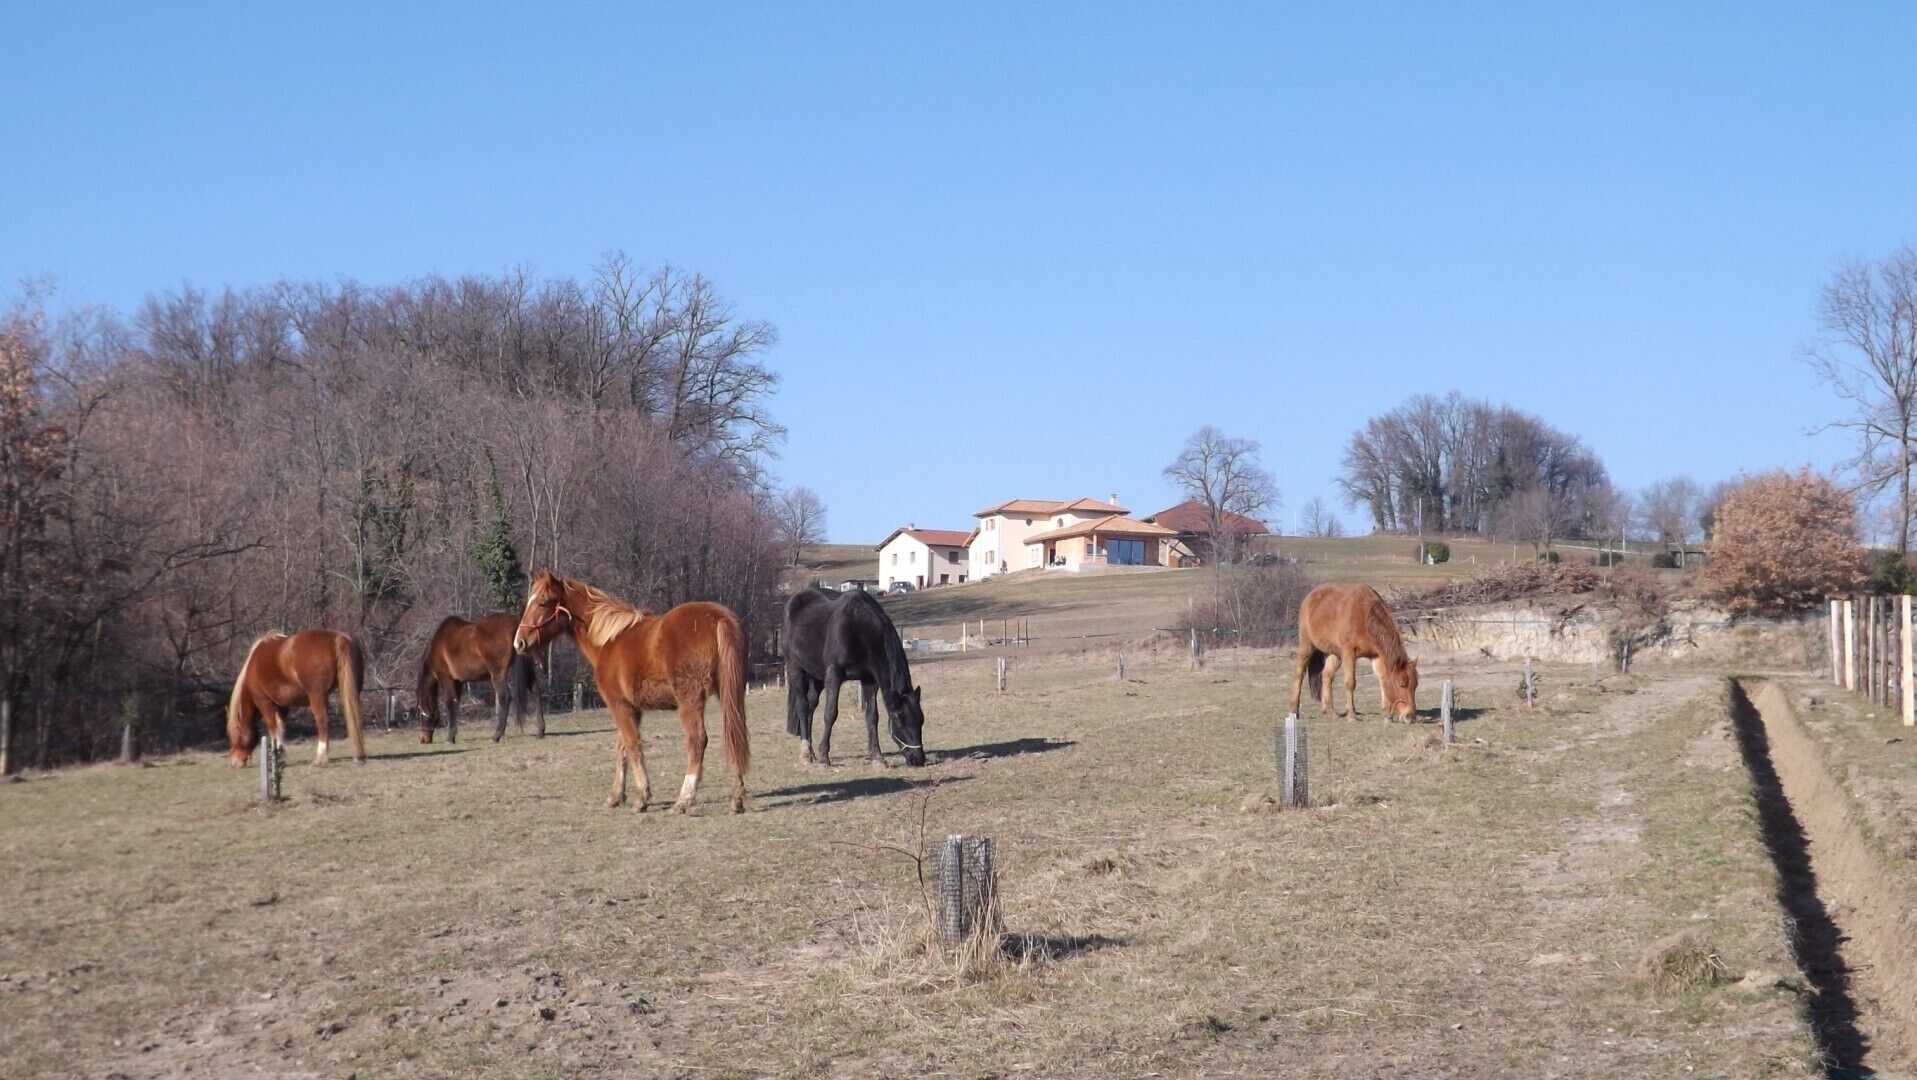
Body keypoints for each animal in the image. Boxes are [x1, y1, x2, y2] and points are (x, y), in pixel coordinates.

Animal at [227, 629, 367, 766]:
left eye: (235, 734)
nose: (234, 762)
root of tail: (338, 638)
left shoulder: (265, 703)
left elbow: (273, 728)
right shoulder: (282, 706)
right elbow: (281, 727)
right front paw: (279, 753)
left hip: (317, 697)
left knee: (323, 723)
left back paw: (320, 759)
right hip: (353, 693)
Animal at [416, 613, 544, 744]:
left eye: (421, 713)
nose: (423, 738)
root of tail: (516, 625)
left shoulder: (446, 679)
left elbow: (450, 703)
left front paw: (449, 738)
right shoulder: (458, 682)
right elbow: (456, 703)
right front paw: (453, 735)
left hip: (497, 675)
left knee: (504, 697)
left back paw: (496, 735)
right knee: (535, 691)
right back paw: (540, 731)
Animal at [513, 568, 750, 814]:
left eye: (542, 603)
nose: (519, 643)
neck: (609, 640)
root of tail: (719, 617)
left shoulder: (618, 705)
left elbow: (633, 746)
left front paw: (641, 797)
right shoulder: (632, 709)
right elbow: (622, 748)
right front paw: (616, 796)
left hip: (690, 701)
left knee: (697, 741)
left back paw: (683, 800)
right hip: (728, 693)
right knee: (734, 735)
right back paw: (736, 798)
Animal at [781, 587, 926, 767]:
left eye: (921, 720)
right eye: (900, 720)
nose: (918, 759)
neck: (859, 629)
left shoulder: (870, 680)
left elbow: (872, 716)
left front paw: (877, 757)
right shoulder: (834, 676)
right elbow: (830, 714)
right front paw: (824, 758)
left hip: (817, 676)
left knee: (811, 705)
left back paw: (811, 751)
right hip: (796, 668)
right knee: (802, 706)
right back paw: (806, 755)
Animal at [1288, 582, 1420, 721]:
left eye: (1415, 685)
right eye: (1402, 685)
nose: (1410, 716)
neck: (1365, 616)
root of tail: (1310, 597)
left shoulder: (1377, 656)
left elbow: (1383, 680)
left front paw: (1386, 714)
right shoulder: (1349, 652)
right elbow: (1350, 683)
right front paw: (1351, 715)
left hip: (1334, 654)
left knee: (1327, 676)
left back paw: (1329, 711)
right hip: (1307, 645)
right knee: (1299, 674)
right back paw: (1294, 710)